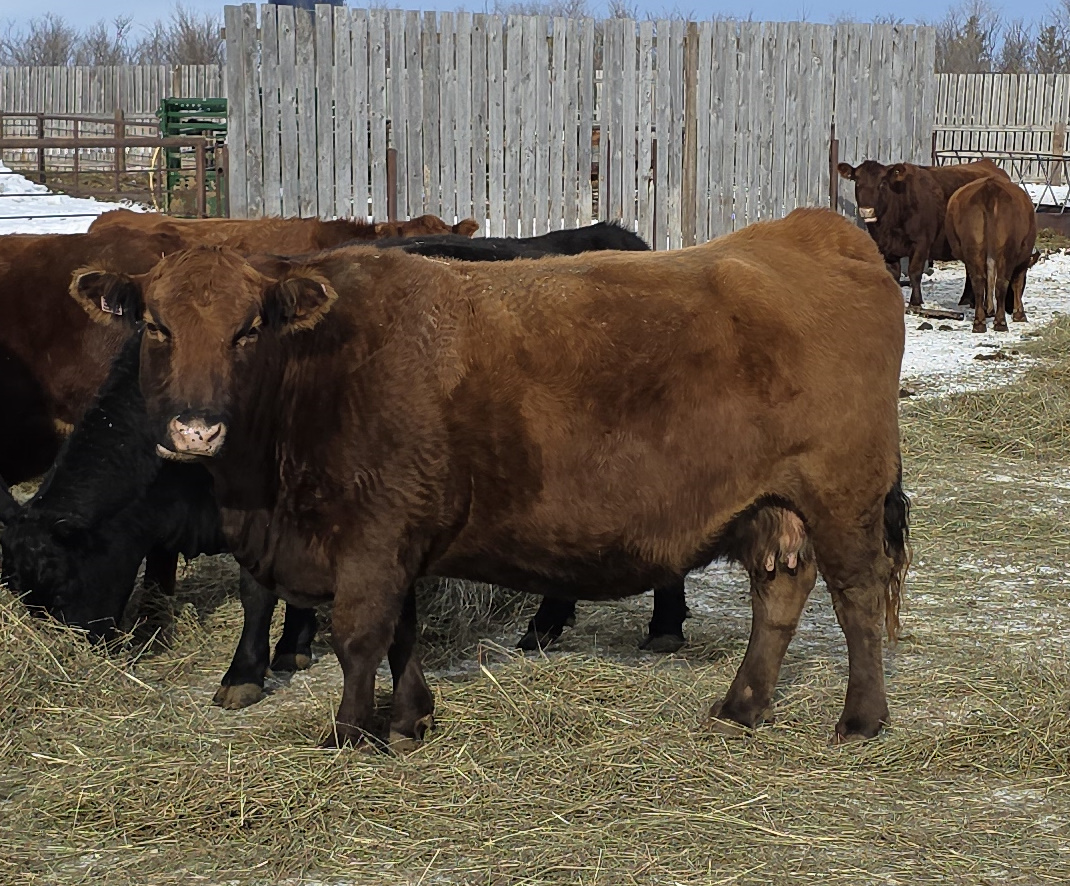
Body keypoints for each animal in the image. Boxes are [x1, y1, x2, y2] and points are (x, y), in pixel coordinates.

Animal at [0, 334, 318, 710]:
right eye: (16, 592)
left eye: (63, 586)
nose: (68, 657)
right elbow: (156, 579)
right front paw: (148, 633)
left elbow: (256, 593)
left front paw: (243, 674)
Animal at [70, 206, 911, 749]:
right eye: (156, 325)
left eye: (249, 329)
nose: (195, 426)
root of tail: (814, 229)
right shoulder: (400, 536)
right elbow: (401, 632)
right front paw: (410, 719)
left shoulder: (374, 536)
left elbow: (358, 635)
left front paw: (349, 733)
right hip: (774, 507)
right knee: (781, 594)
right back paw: (743, 705)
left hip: (843, 496)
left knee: (859, 599)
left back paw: (861, 719)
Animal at [837, 159, 1010, 306]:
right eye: (857, 183)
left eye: (882, 183)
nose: (866, 211)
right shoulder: (886, 249)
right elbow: (894, 274)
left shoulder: (922, 243)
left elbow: (914, 272)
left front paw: (916, 302)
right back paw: (967, 300)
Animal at [944, 176, 1038, 334]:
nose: (1010, 309)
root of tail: (990, 188)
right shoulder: (1023, 261)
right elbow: (1017, 283)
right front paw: (1019, 314)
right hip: (1007, 250)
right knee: (1001, 283)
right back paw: (1000, 323)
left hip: (973, 248)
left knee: (978, 282)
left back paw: (979, 322)